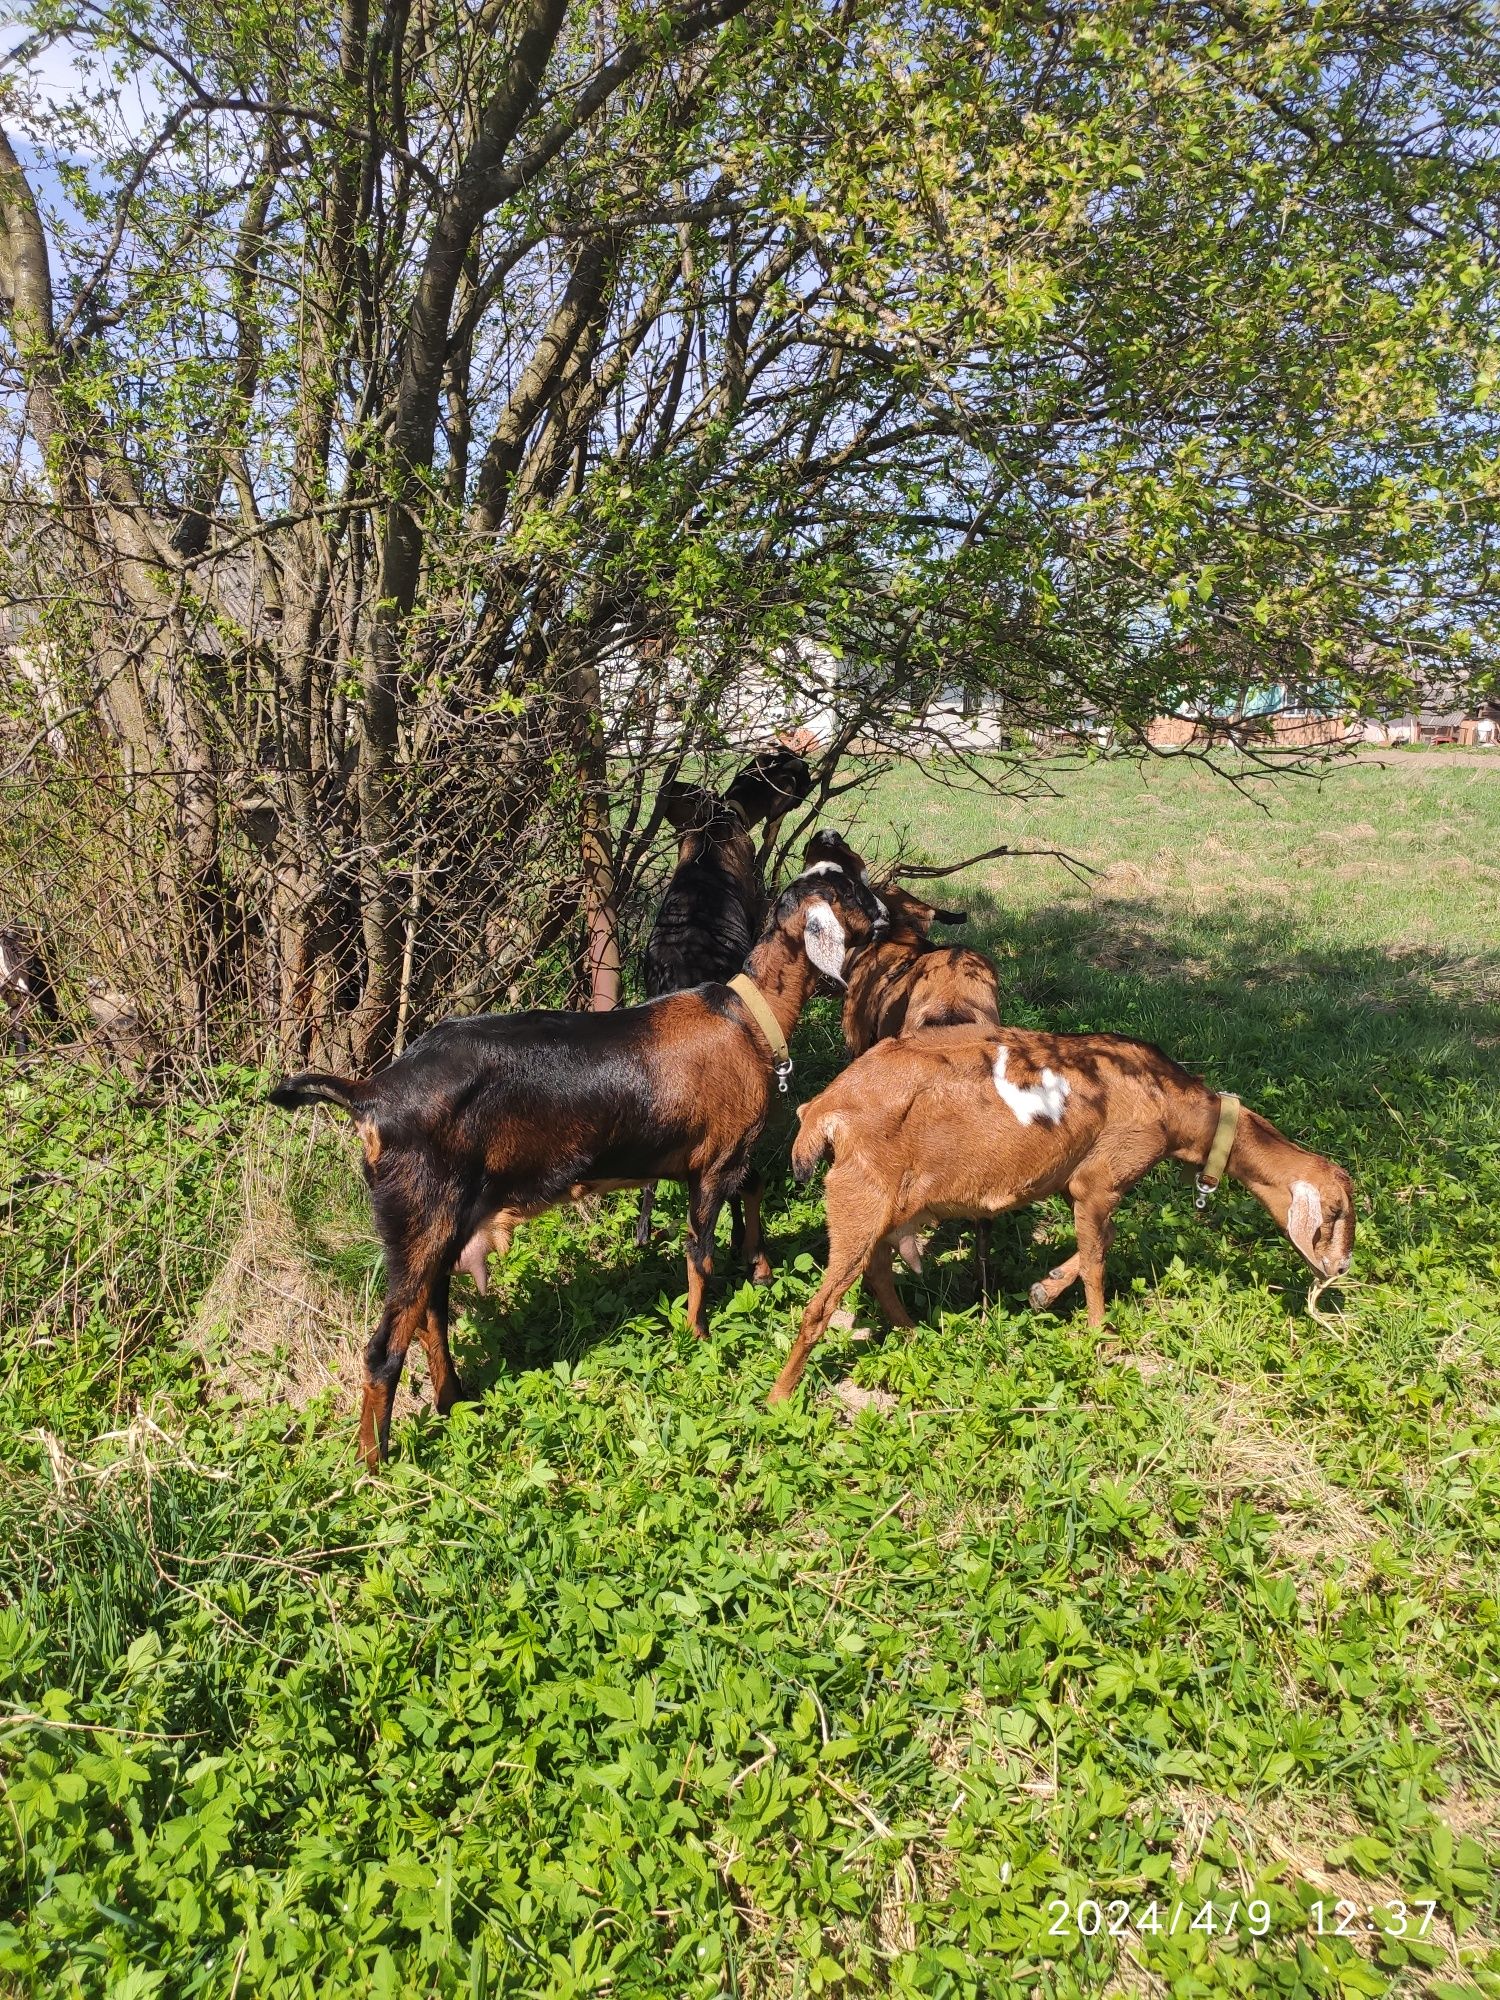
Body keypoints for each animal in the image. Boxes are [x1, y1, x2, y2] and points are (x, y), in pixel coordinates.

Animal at [270, 852, 888, 1464]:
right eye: (853, 892)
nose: (886, 912)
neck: (748, 1016)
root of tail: (371, 1095)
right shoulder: (713, 1164)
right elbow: (699, 1253)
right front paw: (699, 1335)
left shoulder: (725, 1155)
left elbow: (753, 1186)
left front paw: (758, 1268)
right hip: (421, 1219)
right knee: (384, 1350)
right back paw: (372, 1466)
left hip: (442, 1223)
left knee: (431, 1316)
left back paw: (454, 1403)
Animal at [768, 1032, 1360, 1408]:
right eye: (1334, 1212)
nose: (1341, 1268)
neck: (1174, 1104)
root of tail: (824, 1109)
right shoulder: (1100, 1180)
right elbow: (1099, 1261)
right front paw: (1100, 1341)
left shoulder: (1096, 1187)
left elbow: (1104, 1240)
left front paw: (1045, 1289)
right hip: (861, 1195)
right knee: (822, 1305)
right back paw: (778, 1399)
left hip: (890, 1204)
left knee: (874, 1272)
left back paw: (914, 1335)